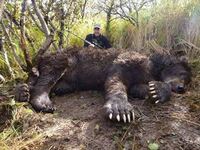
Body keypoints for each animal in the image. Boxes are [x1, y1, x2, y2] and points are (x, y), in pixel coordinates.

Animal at [15, 47, 191, 123]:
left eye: (188, 80)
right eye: (182, 73)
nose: (182, 88)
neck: (150, 66)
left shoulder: (141, 79)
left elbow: (140, 88)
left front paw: (157, 91)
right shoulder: (123, 62)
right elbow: (115, 82)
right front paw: (120, 109)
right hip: (62, 58)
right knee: (47, 77)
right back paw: (41, 101)